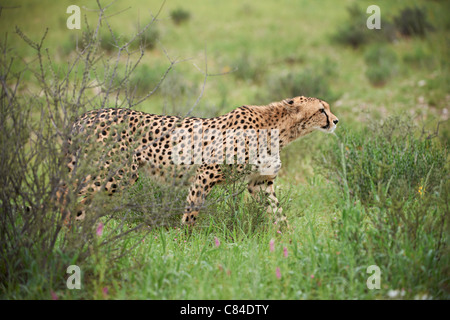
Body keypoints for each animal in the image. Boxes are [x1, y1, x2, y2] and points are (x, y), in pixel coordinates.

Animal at [62, 96, 338, 226]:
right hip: (115, 173)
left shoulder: (260, 183)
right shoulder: (205, 173)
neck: (279, 129)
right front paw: (183, 242)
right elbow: (192, 212)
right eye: (321, 110)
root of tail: (85, 115)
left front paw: (288, 242)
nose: (336, 120)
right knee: (69, 199)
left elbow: (278, 214)